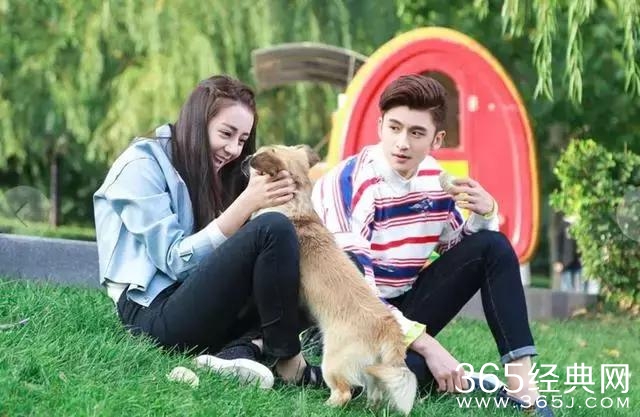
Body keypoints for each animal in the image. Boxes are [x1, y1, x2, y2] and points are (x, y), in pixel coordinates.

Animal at [249, 145, 417, 415]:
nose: (247, 158)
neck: (296, 205)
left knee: (344, 393)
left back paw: (323, 406)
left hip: (333, 362)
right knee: (375, 394)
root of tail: (388, 328)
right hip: (375, 372)